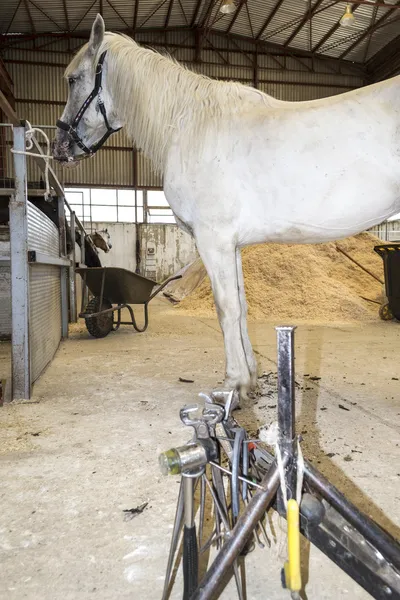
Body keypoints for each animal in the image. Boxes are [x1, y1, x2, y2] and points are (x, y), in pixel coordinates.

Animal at [54, 14, 400, 398]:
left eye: (73, 79)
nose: (60, 147)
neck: (192, 126)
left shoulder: (213, 240)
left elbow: (226, 309)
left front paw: (233, 383)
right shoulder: (231, 245)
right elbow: (242, 307)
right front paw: (250, 379)